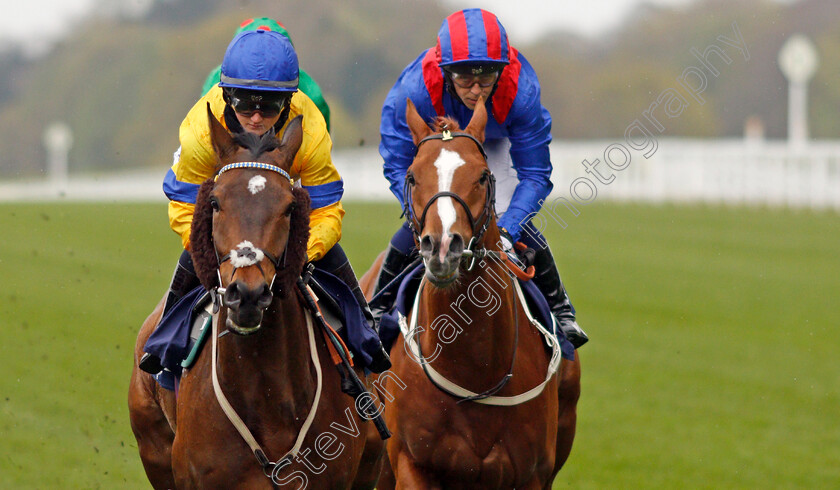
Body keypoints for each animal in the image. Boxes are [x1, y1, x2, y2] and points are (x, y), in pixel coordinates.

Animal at [360, 98, 584, 490]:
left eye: (482, 175)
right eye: (412, 176)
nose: (443, 247)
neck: (476, 369)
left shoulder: (533, 474)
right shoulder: (413, 465)